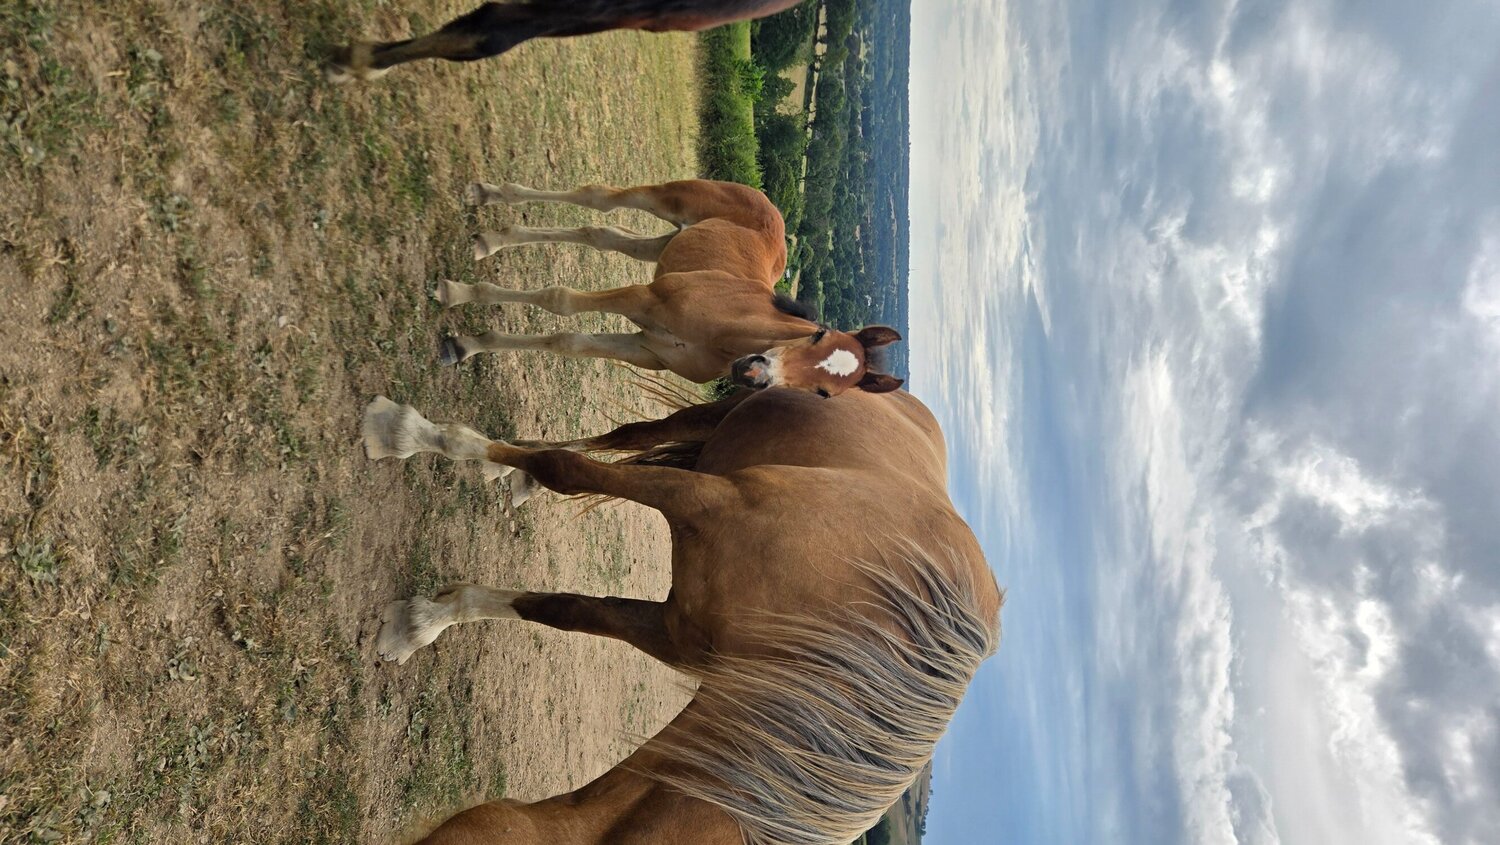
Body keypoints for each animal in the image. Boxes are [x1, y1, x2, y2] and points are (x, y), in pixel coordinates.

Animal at [361, 385, 1003, 845]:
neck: (848, 623)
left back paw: (509, 471)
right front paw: (409, 433)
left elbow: (561, 609)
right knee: (626, 435)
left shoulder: (675, 632)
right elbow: (566, 471)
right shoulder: (702, 499)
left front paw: (425, 620)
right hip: (711, 417)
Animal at [436, 177, 905, 397]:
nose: (753, 373)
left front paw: (465, 344)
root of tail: (768, 201)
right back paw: (488, 196)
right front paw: (458, 295)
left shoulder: (644, 348)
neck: (723, 334)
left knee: (604, 234)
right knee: (599, 197)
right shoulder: (643, 299)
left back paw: (493, 238)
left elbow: (567, 342)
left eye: (824, 393)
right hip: (669, 197)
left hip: (665, 244)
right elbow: (561, 301)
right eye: (818, 334)